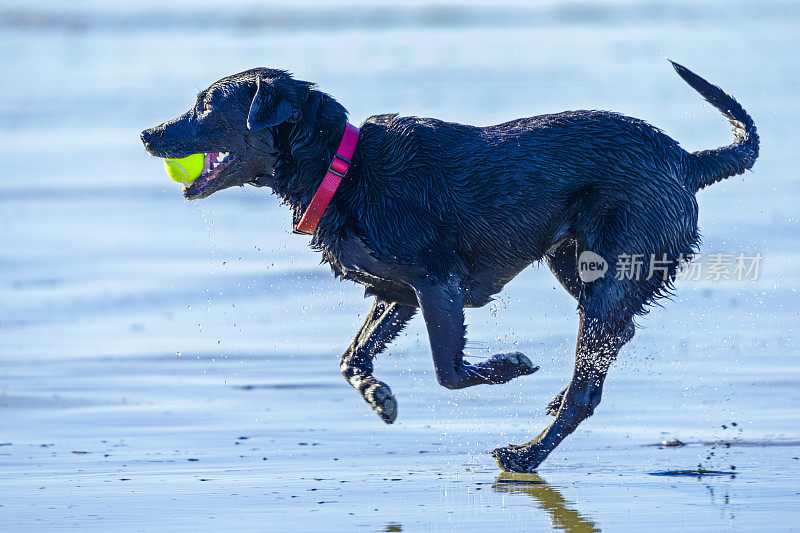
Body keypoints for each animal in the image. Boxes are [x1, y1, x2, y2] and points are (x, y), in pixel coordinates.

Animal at [141, 62, 760, 470]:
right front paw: (379, 396)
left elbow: (449, 370)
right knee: (614, 338)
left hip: (610, 265)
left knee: (590, 382)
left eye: (206, 106)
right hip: (573, 261)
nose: (147, 133)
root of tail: (687, 160)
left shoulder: (438, 283)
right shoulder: (398, 293)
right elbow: (352, 356)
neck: (344, 168)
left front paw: (509, 365)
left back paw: (526, 454)